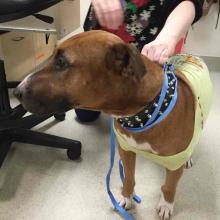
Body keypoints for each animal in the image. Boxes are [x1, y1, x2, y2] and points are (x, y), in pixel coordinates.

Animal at [13, 30, 211, 219]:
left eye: (61, 62)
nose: (16, 91)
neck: (145, 112)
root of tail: (191, 56)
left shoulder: (173, 163)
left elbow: (169, 186)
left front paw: (165, 205)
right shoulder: (126, 150)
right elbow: (129, 178)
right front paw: (127, 197)